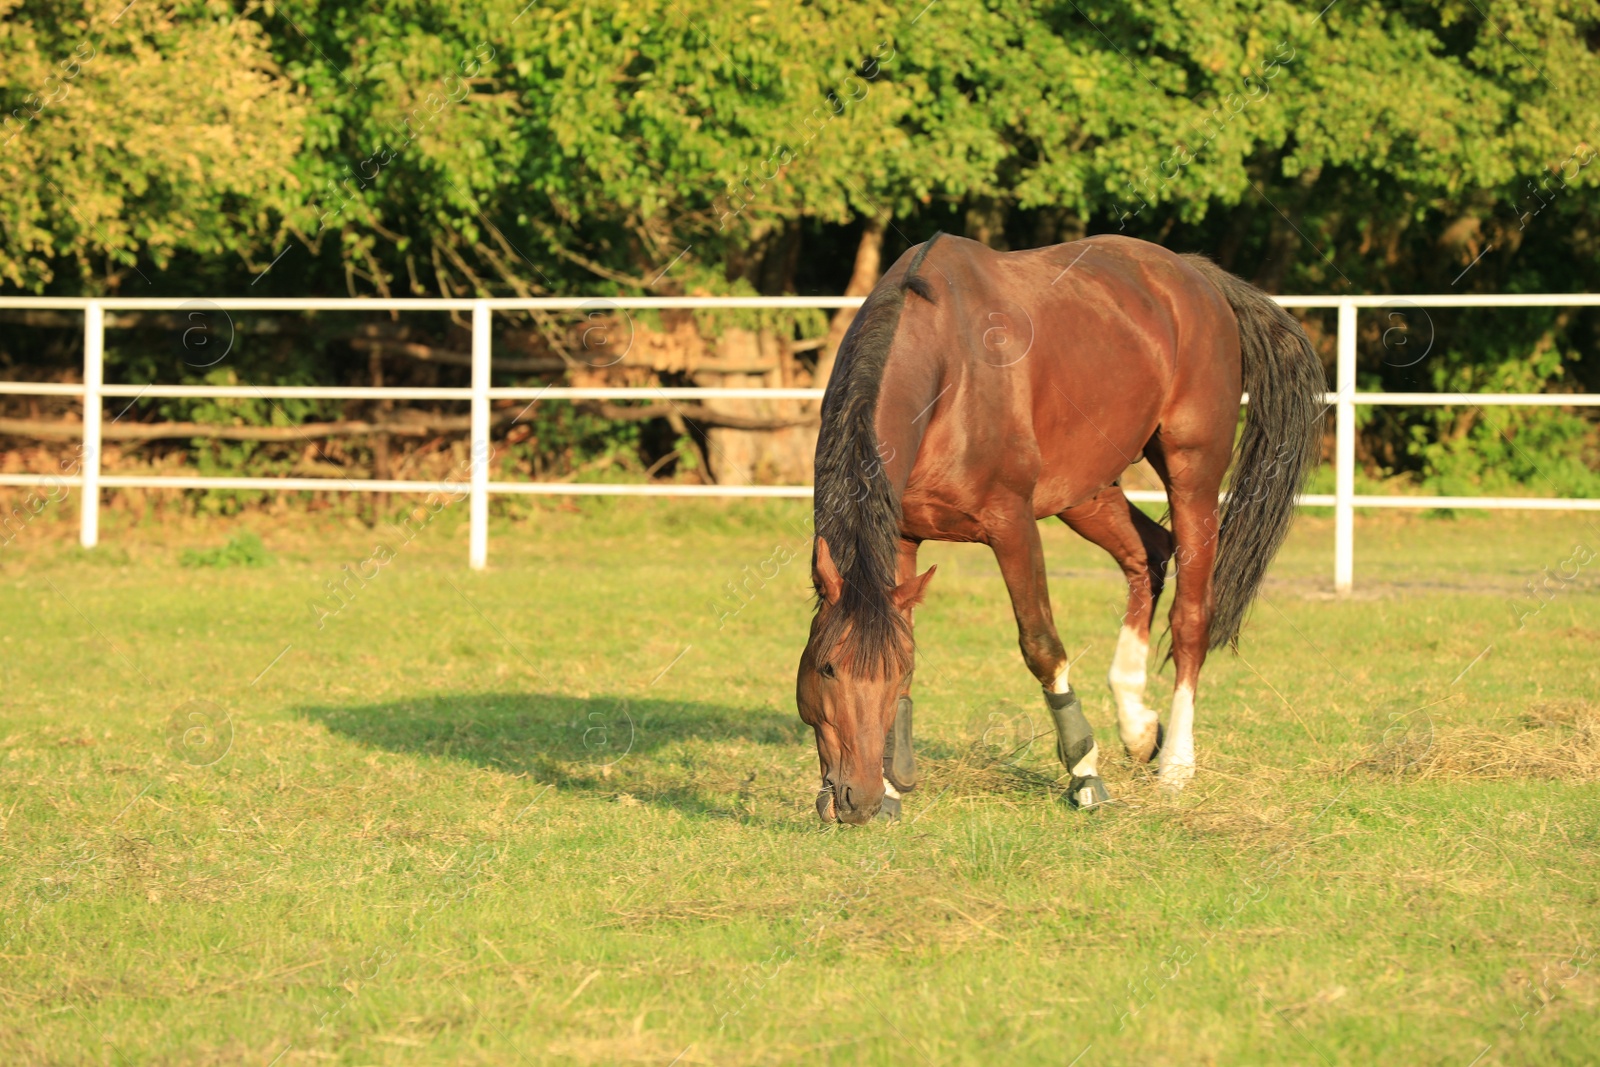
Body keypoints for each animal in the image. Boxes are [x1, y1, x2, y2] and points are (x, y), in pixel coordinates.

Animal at [790, 233, 1324, 825]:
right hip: (1087, 490)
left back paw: (1176, 765)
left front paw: (1085, 772)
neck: (947, 375)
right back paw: (1137, 724)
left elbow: (1042, 646)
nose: (856, 801)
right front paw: (891, 787)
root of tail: (1197, 277)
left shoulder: (1012, 525)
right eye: (827, 668)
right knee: (1148, 554)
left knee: (1190, 616)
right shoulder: (902, 535)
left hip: (1194, 473)